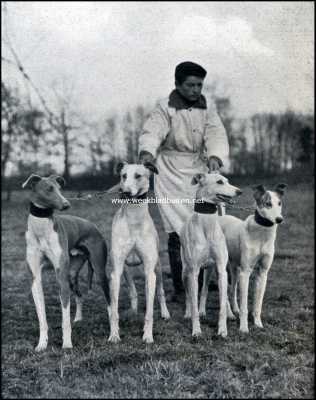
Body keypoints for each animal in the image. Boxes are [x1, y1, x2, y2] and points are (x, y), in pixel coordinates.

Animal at [22, 174, 111, 350]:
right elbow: (42, 318)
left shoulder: (61, 278)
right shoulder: (35, 279)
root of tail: (93, 225)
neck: (41, 229)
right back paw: (78, 319)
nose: (66, 204)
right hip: (71, 274)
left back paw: (114, 332)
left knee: (110, 303)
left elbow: (64, 320)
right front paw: (41, 344)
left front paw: (67, 344)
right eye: (49, 189)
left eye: (59, 188)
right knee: (79, 294)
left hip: (99, 272)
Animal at [107, 161, 170, 342]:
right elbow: (114, 311)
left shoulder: (150, 272)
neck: (134, 220)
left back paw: (165, 313)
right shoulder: (116, 272)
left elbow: (149, 311)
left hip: (158, 267)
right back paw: (133, 311)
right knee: (133, 292)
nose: (126, 192)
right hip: (126, 270)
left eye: (138, 175)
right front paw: (114, 334)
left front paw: (148, 336)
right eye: (123, 176)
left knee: (161, 291)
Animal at [180, 172, 242, 338]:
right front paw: (196, 330)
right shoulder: (194, 271)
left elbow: (221, 302)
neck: (207, 225)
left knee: (206, 289)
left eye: (227, 180)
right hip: (185, 271)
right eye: (219, 182)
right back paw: (188, 312)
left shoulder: (221, 268)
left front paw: (222, 329)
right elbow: (193, 300)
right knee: (189, 295)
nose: (239, 191)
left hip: (210, 270)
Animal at [217, 183, 286, 332]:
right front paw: (243, 328)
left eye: (279, 203)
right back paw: (229, 313)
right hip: (222, 268)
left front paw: (258, 324)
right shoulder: (246, 272)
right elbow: (245, 306)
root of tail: (220, 218)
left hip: (235, 269)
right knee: (224, 291)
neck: (262, 234)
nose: (279, 219)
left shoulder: (262, 273)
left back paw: (234, 310)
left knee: (232, 290)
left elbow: (257, 304)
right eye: (268, 203)